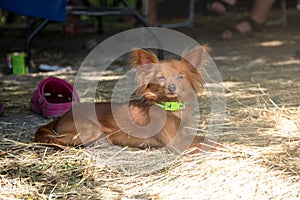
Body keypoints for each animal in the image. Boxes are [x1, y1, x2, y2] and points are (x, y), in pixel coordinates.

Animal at [35, 46, 219, 153]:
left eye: (181, 77)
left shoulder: (185, 136)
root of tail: (62, 116)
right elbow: (206, 144)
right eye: (161, 78)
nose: (172, 87)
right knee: (54, 140)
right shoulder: (177, 143)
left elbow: (204, 138)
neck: (170, 106)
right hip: (88, 130)